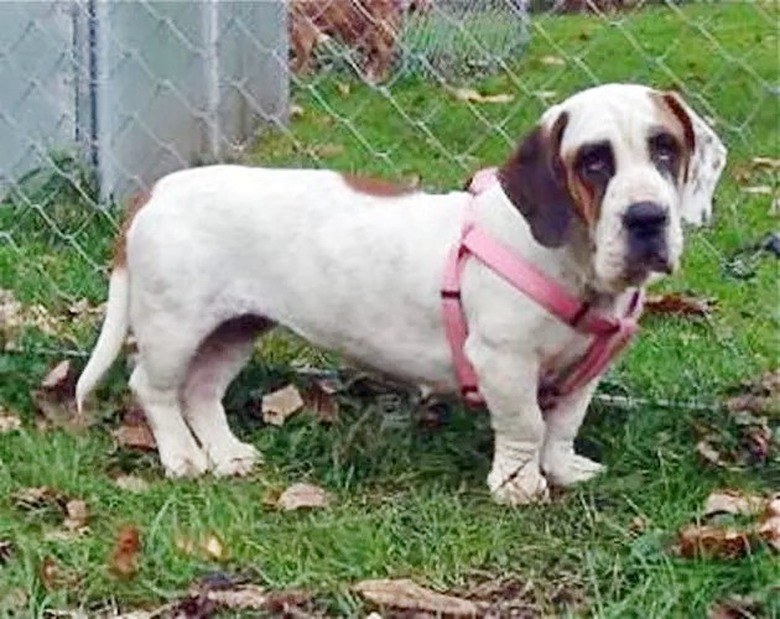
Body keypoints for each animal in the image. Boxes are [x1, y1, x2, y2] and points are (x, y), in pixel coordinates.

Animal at [76, 85, 728, 506]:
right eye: (593, 161)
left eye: (665, 148)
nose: (647, 218)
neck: (577, 266)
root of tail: (156, 193)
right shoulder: (504, 362)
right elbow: (525, 425)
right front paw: (520, 486)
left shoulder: (585, 373)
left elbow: (563, 423)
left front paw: (562, 469)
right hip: (173, 326)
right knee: (153, 389)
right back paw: (182, 458)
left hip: (235, 328)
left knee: (201, 391)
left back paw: (226, 454)